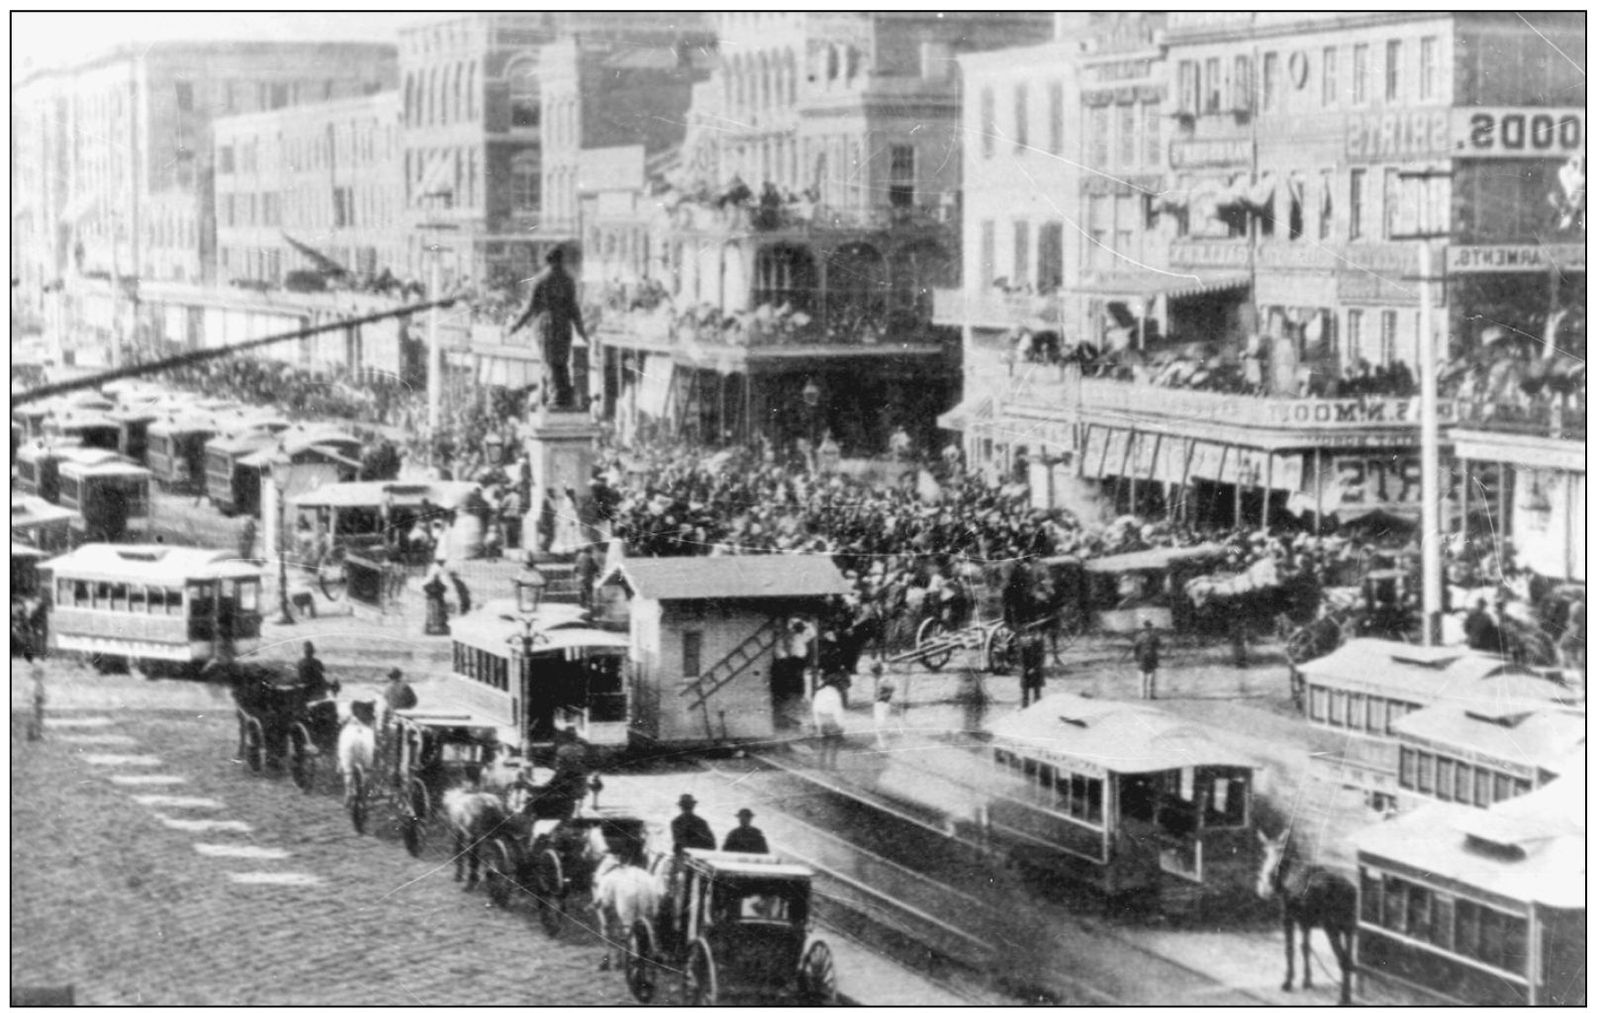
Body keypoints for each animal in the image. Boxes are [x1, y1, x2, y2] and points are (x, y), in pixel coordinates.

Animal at [1255, 833, 1358, 1006]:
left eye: (1276, 852)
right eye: (1264, 853)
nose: (1263, 889)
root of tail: (1350, 892)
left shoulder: (1287, 918)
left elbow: (1290, 950)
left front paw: (1288, 982)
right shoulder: (1305, 922)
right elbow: (1305, 947)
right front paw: (1307, 981)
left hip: (1332, 927)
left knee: (1344, 961)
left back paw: (1343, 998)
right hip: (1349, 928)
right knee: (1350, 961)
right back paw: (1348, 995)